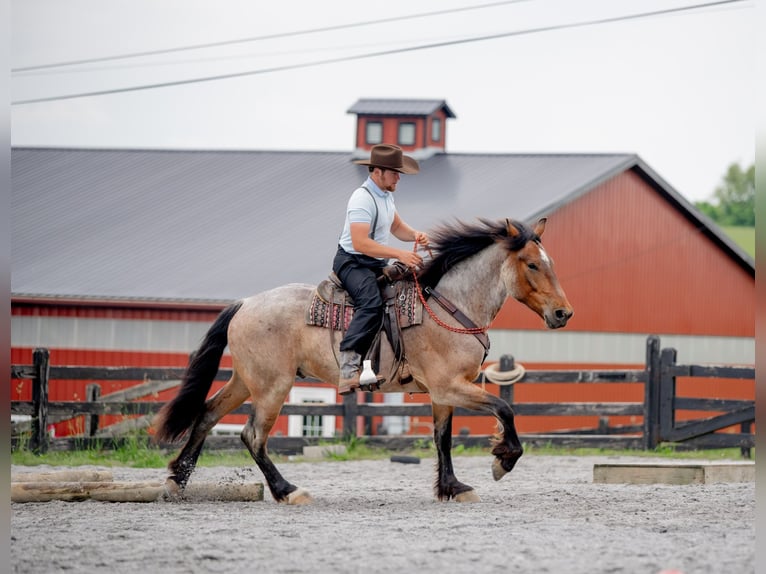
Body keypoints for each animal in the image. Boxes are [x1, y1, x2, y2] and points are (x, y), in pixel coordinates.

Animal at [153, 218, 572, 506]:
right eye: (532, 265)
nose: (563, 313)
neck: (450, 305)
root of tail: (245, 303)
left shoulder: (444, 394)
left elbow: (443, 438)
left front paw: (452, 487)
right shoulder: (450, 386)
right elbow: (504, 408)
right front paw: (503, 460)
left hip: (246, 380)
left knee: (207, 413)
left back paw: (178, 478)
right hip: (273, 386)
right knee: (253, 435)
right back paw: (287, 490)